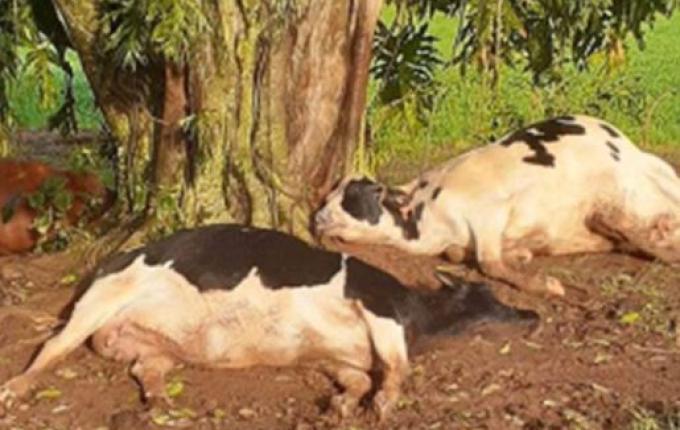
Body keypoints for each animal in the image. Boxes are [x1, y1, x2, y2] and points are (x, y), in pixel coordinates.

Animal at [0, 224, 535, 420]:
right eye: (490, 296)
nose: (532, 313)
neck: (417, 316)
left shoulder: (332, 356)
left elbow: (361, 377)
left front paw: (341, 405)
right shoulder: (377, 306)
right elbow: (398, 365)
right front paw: (382, 406)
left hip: (156, 348)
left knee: (143, 370)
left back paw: (158, 403)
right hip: (99, 301)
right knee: (52, 347)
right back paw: (15, 390)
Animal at [314, 115, 680, 297]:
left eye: (351, 197)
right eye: (329, 194)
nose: (317, 217)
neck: (426, 221)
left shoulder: (491, 211)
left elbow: (489, 263)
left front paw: (546, 285)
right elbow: (463, 256)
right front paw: (523, 253)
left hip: (631, 182)